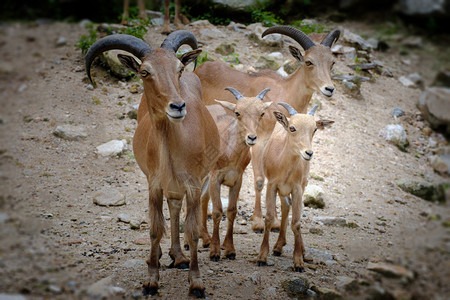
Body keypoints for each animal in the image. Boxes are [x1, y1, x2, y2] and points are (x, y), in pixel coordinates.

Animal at [84, 30, 220, 298]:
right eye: (145, 72)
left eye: (179, 68)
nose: (177, 106)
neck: (173, 146)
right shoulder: (154, 183)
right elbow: (155, 229)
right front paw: (151, 281)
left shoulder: (194, 184)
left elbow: (193, 231)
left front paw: (196, 284)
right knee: (172, 207)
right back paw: (168, 255)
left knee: (177, 208)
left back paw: (179, 257)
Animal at [200, 86, 270, 260]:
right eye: (237, 112)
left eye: (261, 113)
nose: (252, 138)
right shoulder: (215, 177)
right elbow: (217, 211)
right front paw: (215, 252)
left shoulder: (237, 180)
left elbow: (232, 211)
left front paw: (230, 250)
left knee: (202, 199)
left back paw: (204, 238)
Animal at [256, 102, 334, 272]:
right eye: (292, 128)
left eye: (315, 129)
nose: (308, 153)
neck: (283, 166)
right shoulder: (272, 185)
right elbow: (269, 218)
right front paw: (262, 257)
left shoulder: (297, 188)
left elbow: (297, 223)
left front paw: (298, 261)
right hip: (282, 190)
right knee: (285, 206)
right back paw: (278, 247)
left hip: (301, 186)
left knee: (291, 209)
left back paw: (296, 250)